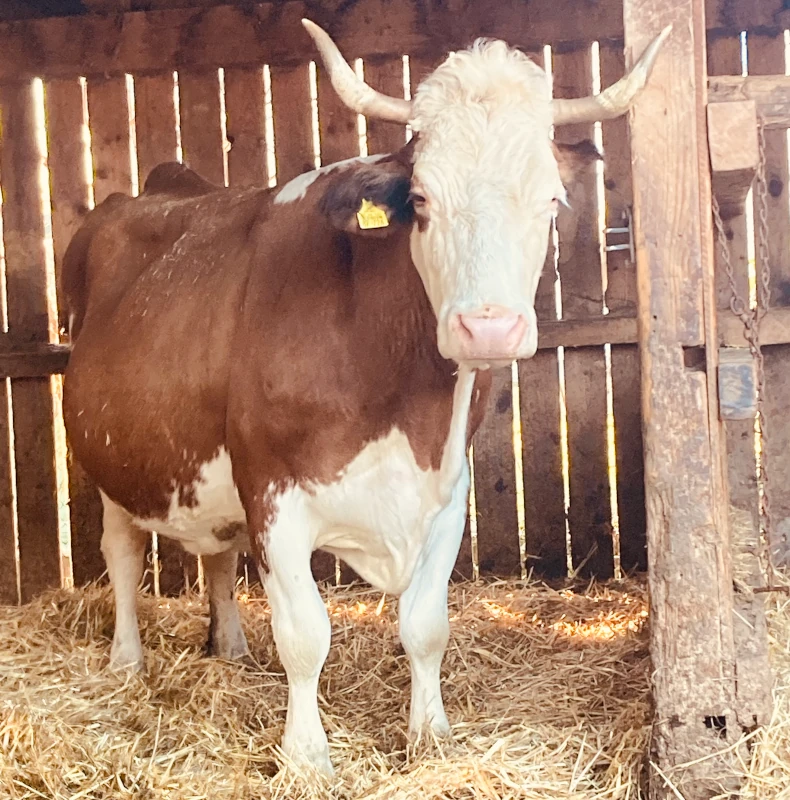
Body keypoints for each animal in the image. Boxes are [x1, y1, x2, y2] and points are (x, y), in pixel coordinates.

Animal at [61, 20, 670, 774]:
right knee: (119, 552)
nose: (489, 327)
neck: (401, 400)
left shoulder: (446, 490)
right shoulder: (272, 493)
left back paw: (230, 650)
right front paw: (305, 758)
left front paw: (430, 734)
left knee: (217, 554)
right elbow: (305, 635)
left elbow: (426, 625)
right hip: (109, 459)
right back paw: (126, 660)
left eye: (551, 201)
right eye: (422, 201)